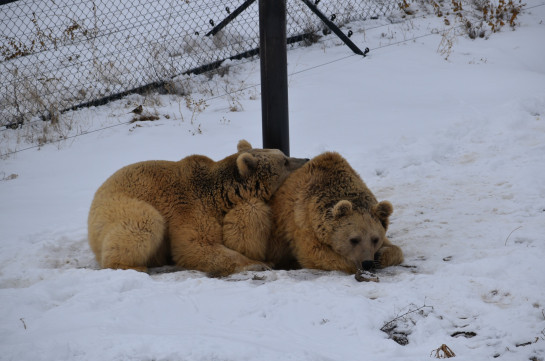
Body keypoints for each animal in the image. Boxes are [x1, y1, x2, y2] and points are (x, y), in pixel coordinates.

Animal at [90, 139, 310, 274]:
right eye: (284, 160)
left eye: (283, 154)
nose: (306, 158)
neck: (217, 192)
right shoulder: (190, 206)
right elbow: (197, 244)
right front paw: (260, 264)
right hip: (120, 206)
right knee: (144, 223)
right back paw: (132, 266)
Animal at [266, 151, 402, 272]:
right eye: (354, 239)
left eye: (375, 239)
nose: (367, 263)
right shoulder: (301, 219)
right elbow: (316, 254)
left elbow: (395, 249)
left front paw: (381, 256)